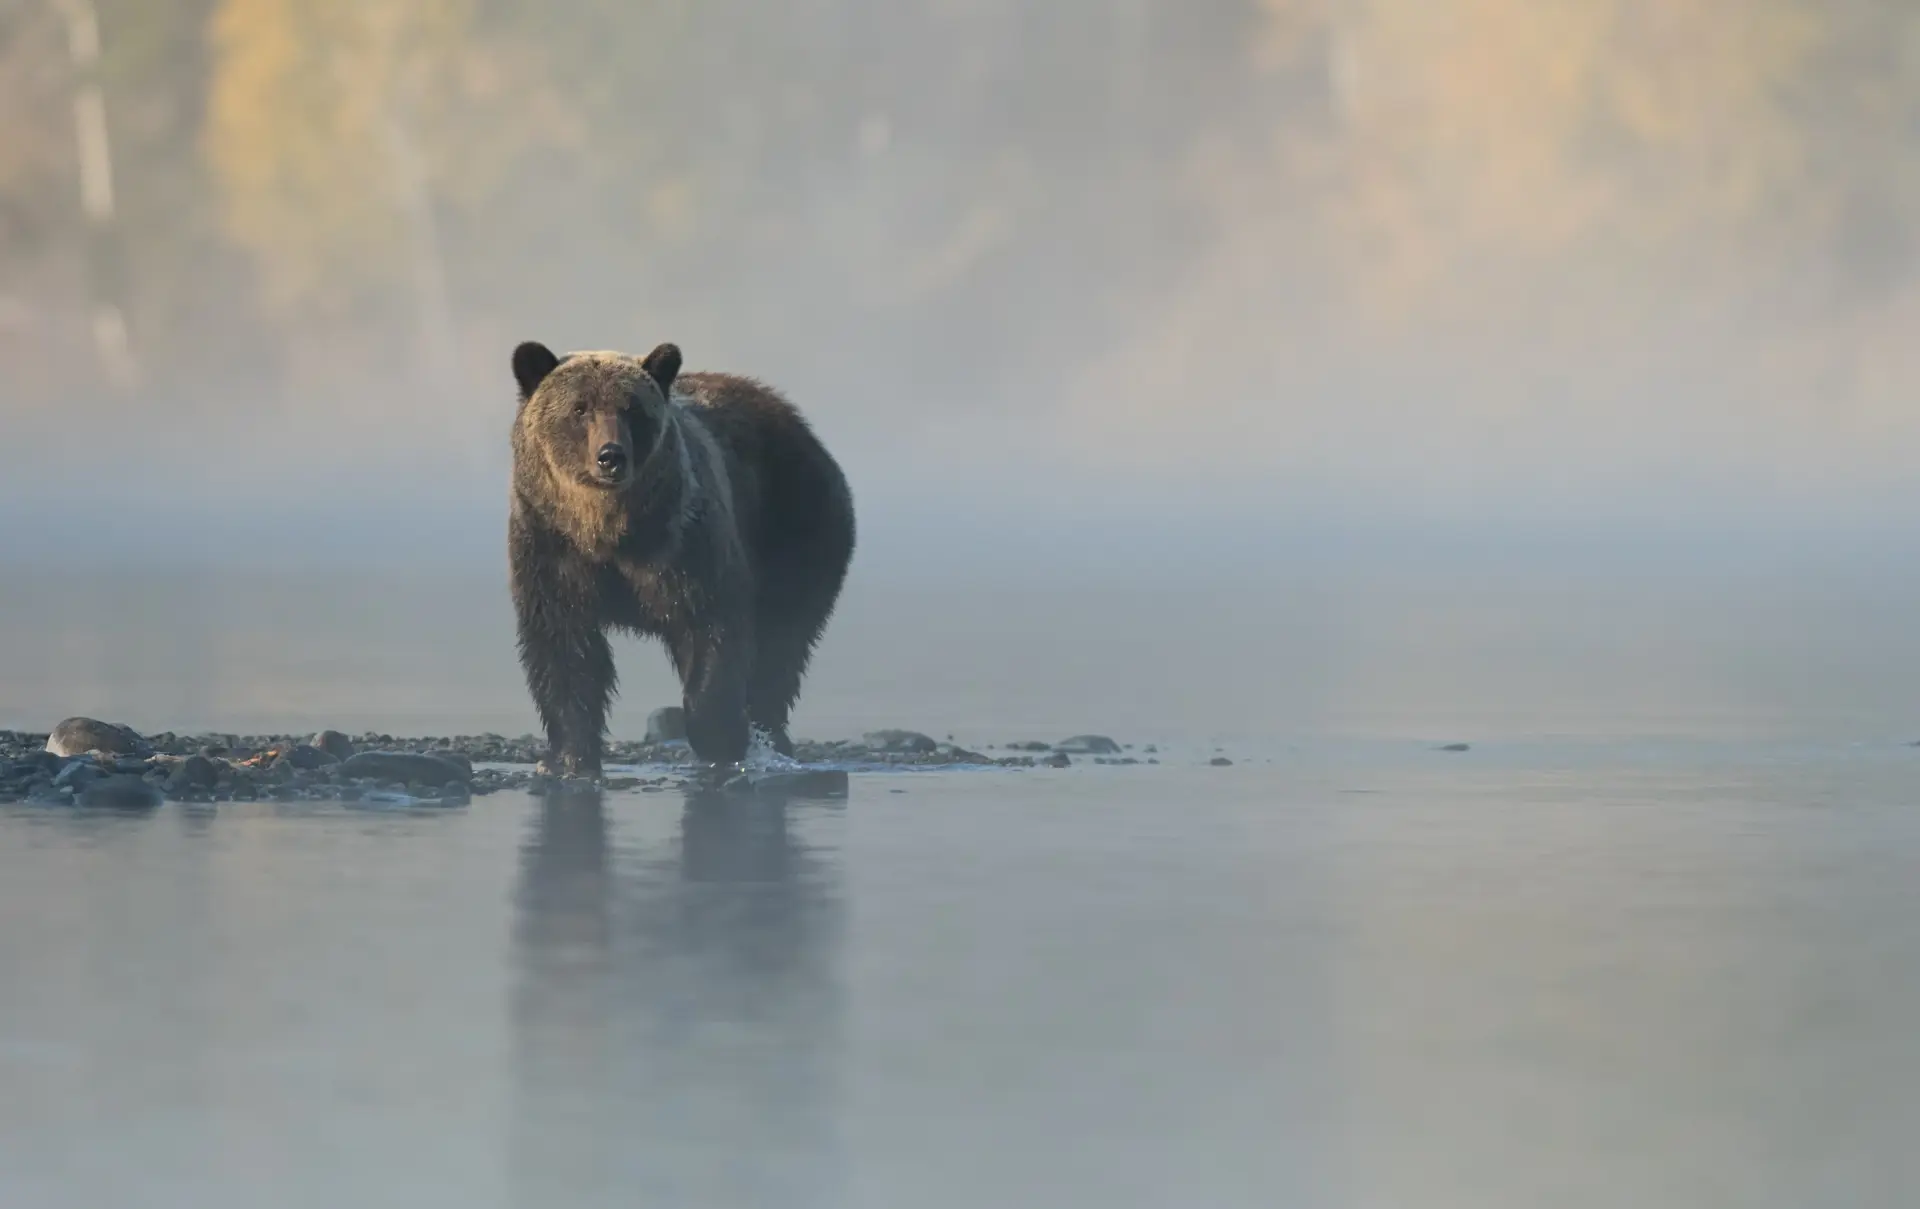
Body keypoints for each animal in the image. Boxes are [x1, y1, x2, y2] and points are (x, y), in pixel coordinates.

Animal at [507, 340, 855, 774]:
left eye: (632, 408)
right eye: (579, 407)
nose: (610, 456)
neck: (609, 532)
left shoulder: (684, 545)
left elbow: (710, 627)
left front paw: (721, 739)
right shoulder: (552, 547)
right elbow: (564, 647)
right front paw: (569, 757)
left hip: (796, 520)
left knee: (782, 642)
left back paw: (770, 736)